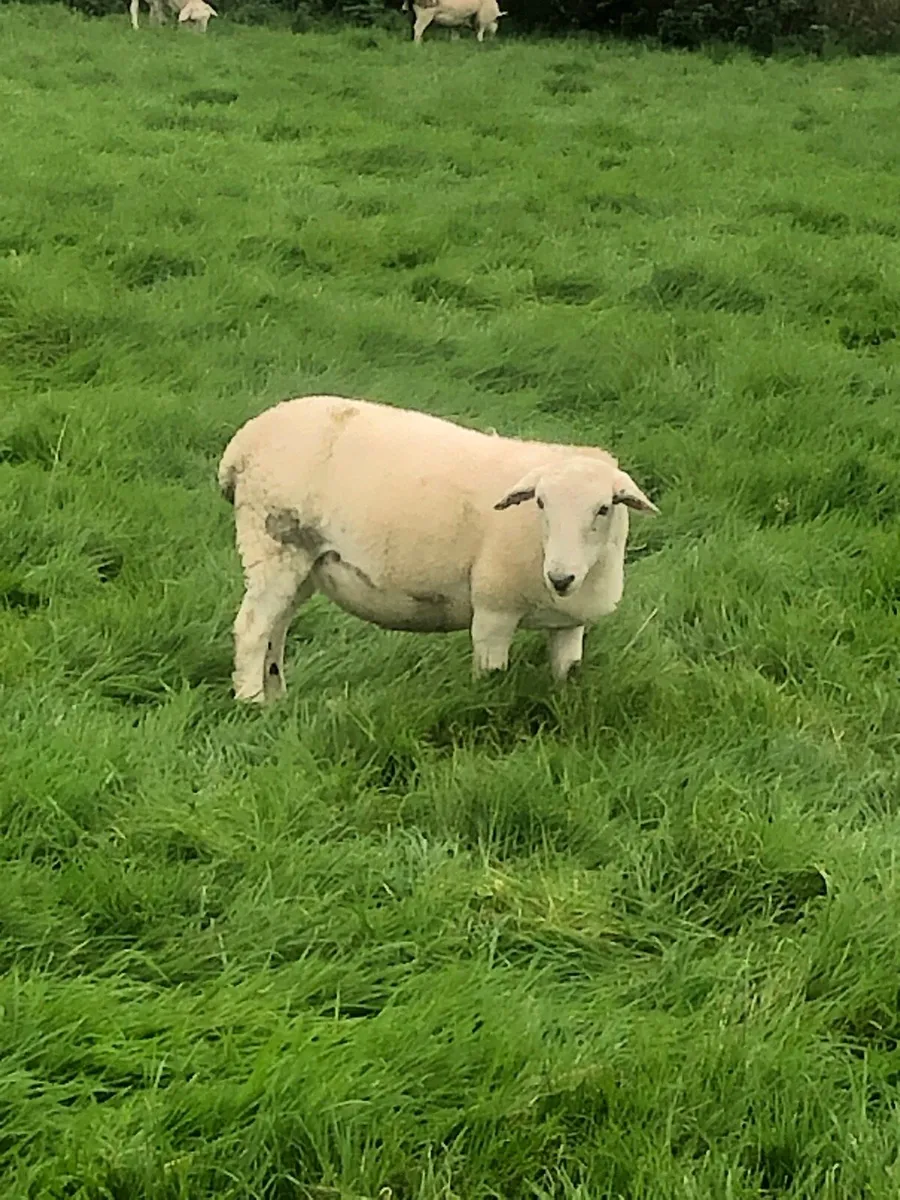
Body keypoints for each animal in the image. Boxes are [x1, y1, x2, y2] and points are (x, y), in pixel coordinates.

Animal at [218, 394, 658, 704]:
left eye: (604, 508)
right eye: (541, 503)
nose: (560, 578)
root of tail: (243, 443)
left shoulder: (568, 624)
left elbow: (568, 677)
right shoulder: (494, 610)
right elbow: (491, 677)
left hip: (303, 558)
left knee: (276, 627)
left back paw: (277, 699)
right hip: (272, 540)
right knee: (253, 628)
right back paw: (252, 702)